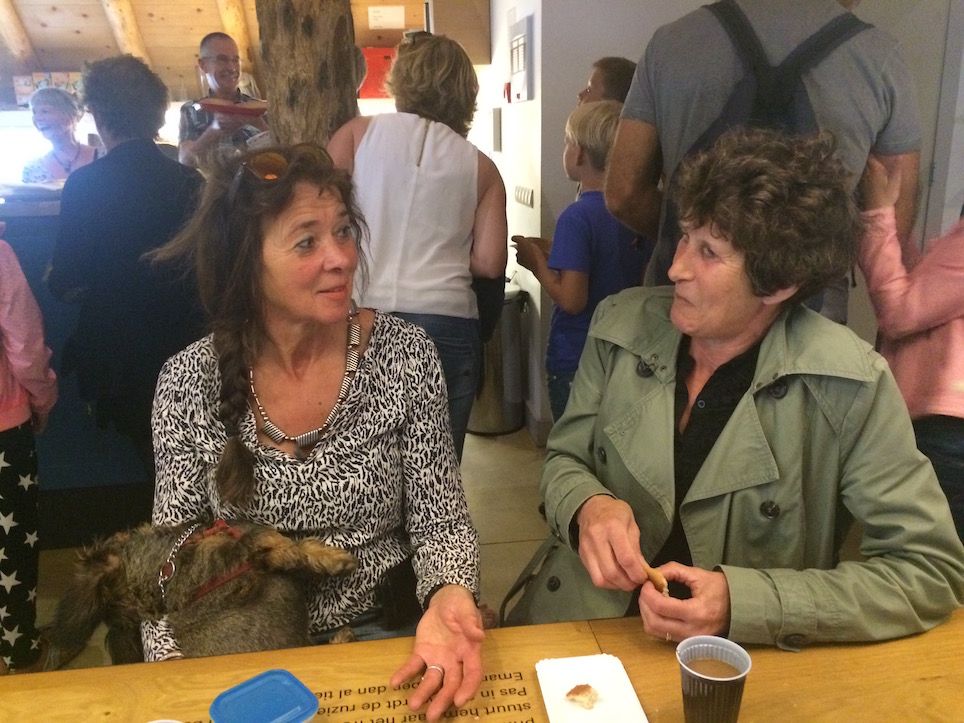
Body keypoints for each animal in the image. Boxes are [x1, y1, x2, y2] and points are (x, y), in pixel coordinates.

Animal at [47, 518, 357, 664]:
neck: (165, 568)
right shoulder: (236, 558)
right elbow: (274, 540)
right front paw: (331, 559)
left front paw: (330, 558)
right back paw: (342, 639)